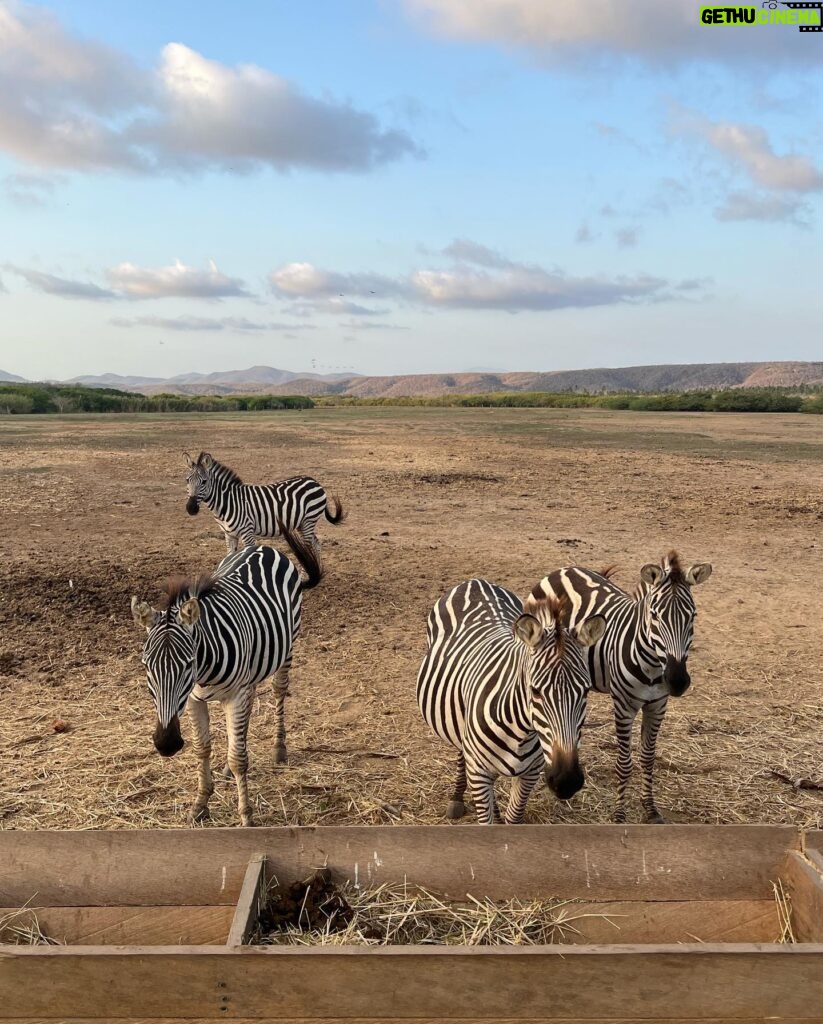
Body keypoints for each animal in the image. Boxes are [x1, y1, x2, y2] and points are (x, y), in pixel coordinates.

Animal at [132, 528, 321, 823]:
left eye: (188, 664)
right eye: (146, 665)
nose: (167, 743)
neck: (203, 671)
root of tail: (263, 548)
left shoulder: (232, 695)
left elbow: (239, 758)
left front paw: (246, 816)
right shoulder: (194, 700)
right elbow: (202, 749)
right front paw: (201, 803)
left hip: (288, 646)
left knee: (279, 690)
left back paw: (279, 748)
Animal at [184, 450, 343, 561]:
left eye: (204, 482)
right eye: (187, 480)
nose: (190, 508)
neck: (227, 502)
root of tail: (314, 481)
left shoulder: (247, 532)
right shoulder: (229, 535)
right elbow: (230, 558)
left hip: (309, 520)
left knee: (311, 546)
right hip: (301, 523)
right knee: (316, 544)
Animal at [417, 581, 605, 827]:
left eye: (585, 691)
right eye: (535, 691)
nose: (567, 781)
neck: (521, 732)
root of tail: (475, 581)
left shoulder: (531, 773)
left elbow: (513, 817)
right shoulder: (478, 772)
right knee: (461, 750)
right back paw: (457, 798)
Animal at [532, 552, 712, 823]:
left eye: (693, 616)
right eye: (655, 615)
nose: (678, 680)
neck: (652, 666)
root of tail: (564, 569)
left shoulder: (657, 705)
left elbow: (648, 759)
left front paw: (650, 809)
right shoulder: (624, 707)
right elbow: (624, 764)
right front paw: (619, 814)